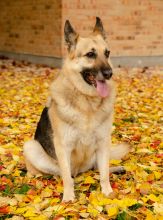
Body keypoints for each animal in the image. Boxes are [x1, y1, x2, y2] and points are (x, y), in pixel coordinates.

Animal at [23, 18, 130, 202]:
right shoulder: (63, 146)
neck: (87, 102)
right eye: (90, 54)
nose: (109, 73)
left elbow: (103, 174)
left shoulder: (103, 142)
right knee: (62, 173)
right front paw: (68, 198)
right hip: (31, 147)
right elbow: (66, 177)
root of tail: (80, 170)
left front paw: (107, 192)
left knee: (97, 167)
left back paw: (115, 169)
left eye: (107, 53)